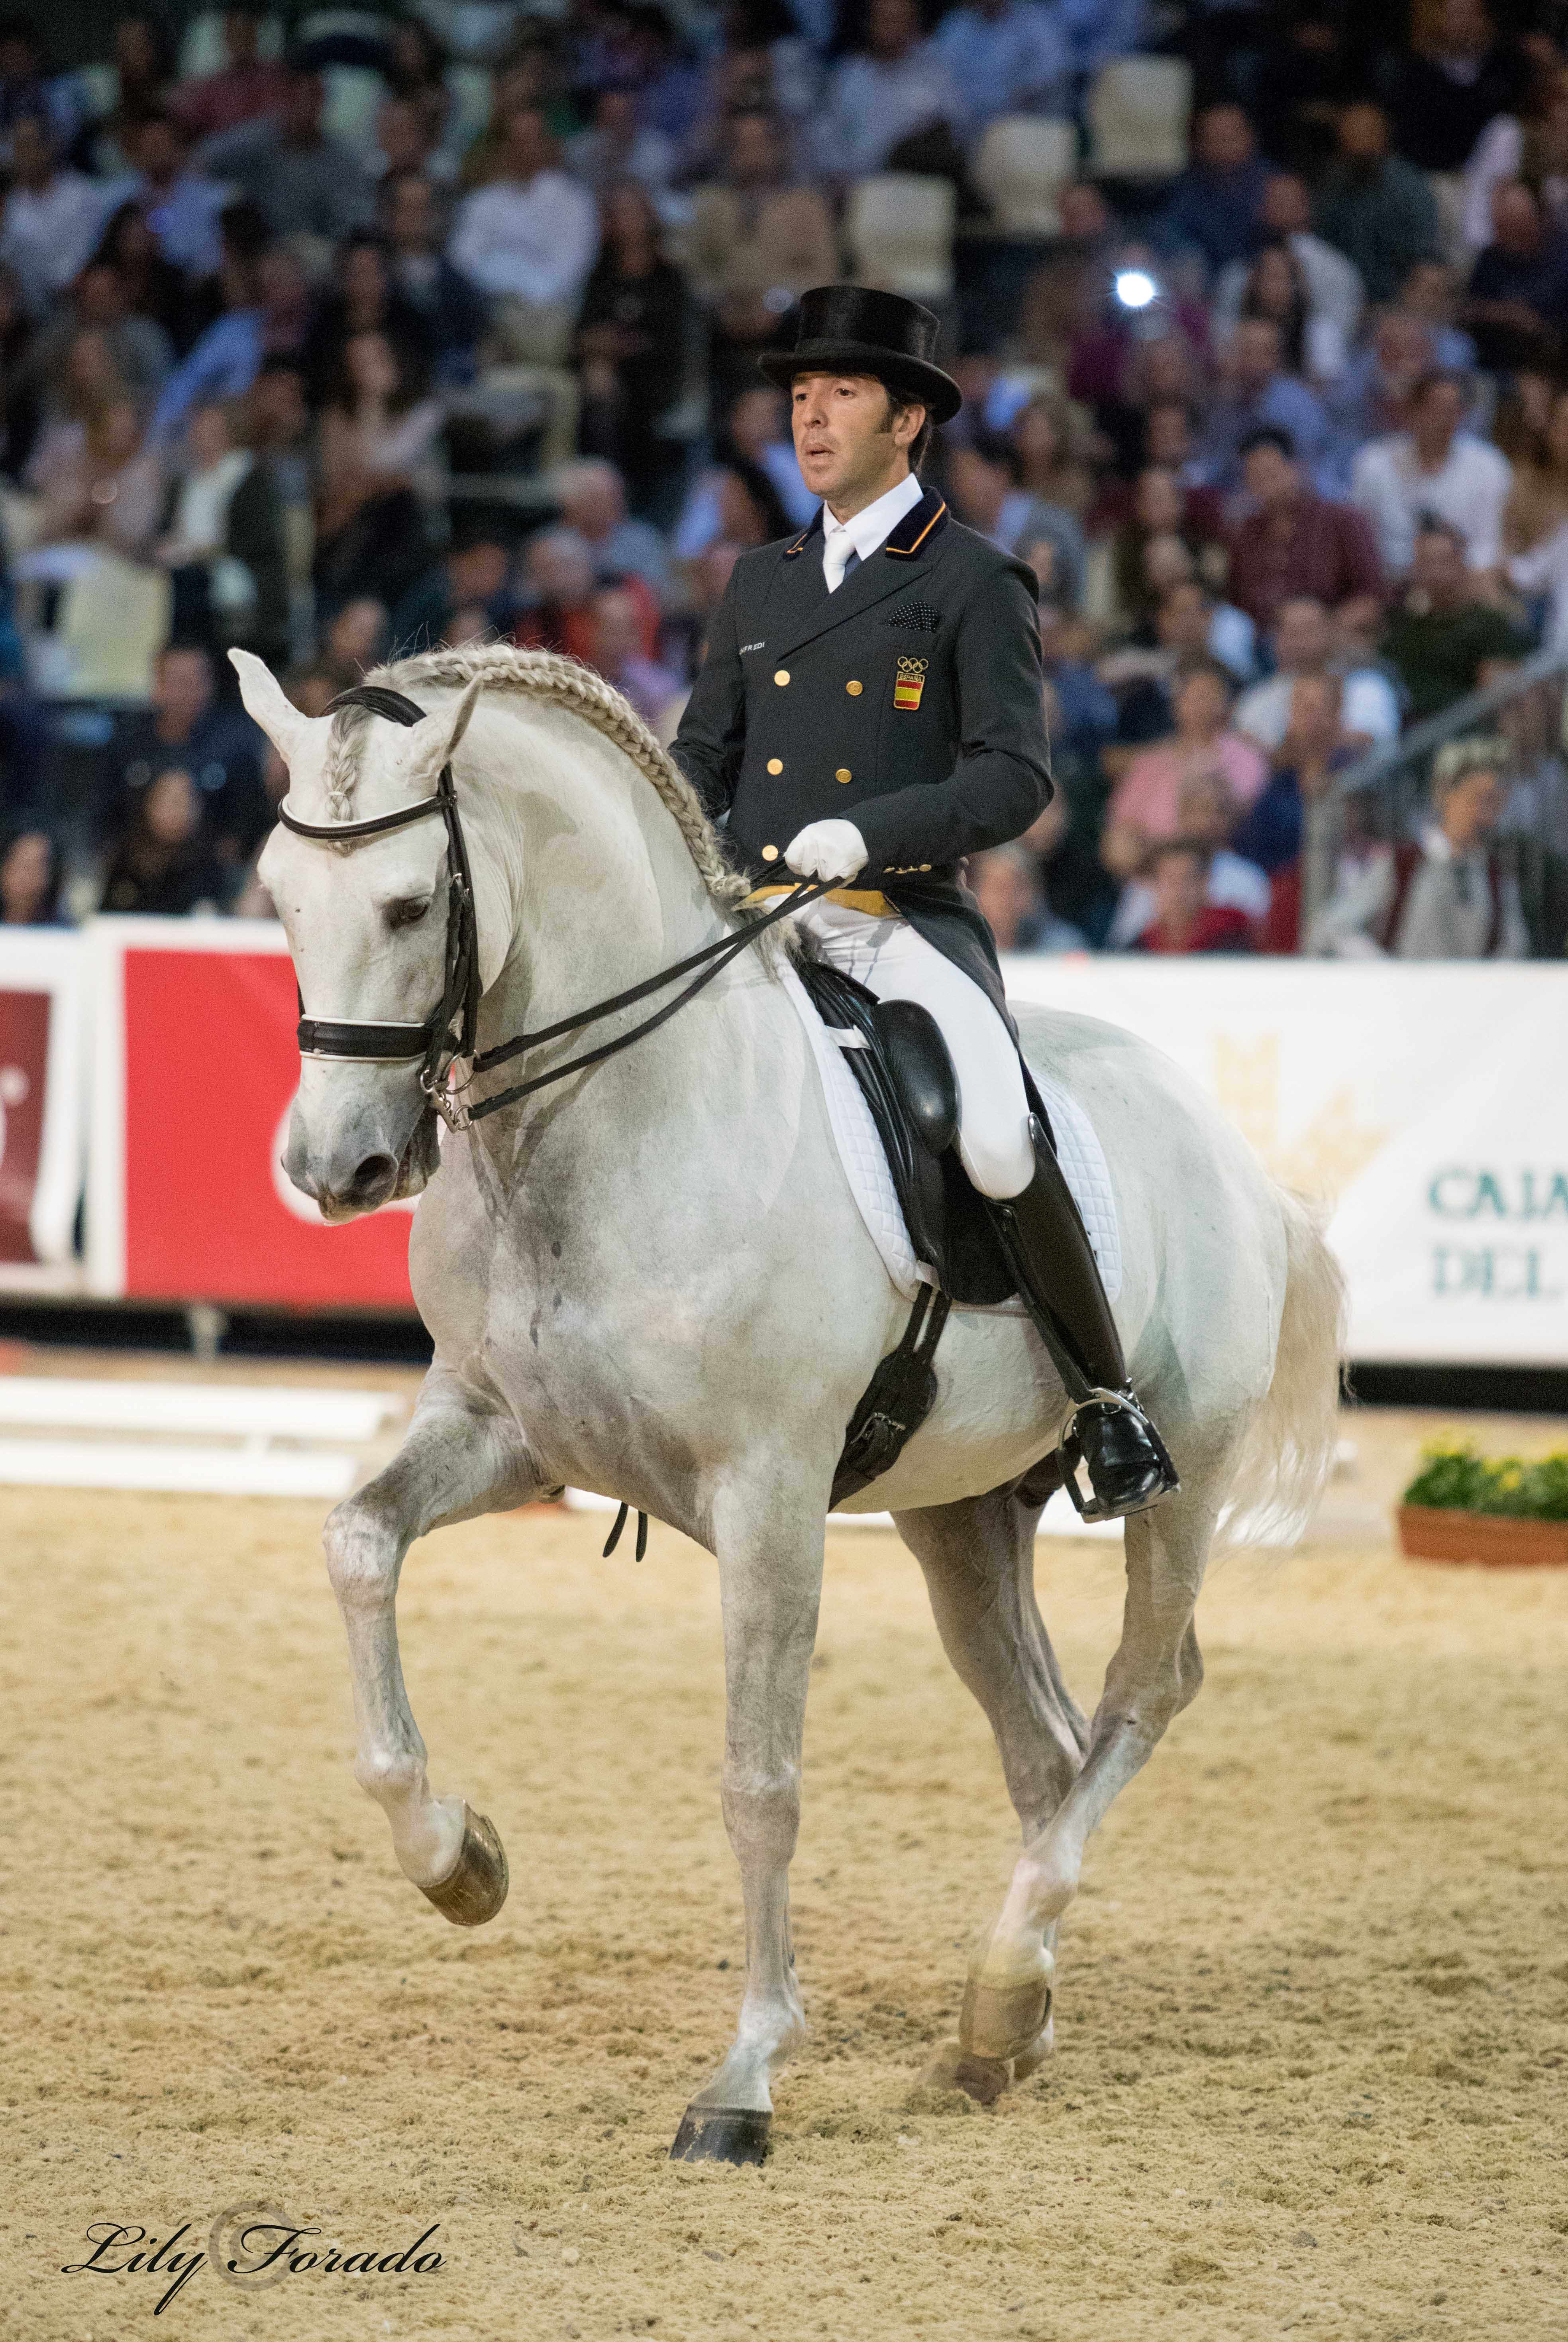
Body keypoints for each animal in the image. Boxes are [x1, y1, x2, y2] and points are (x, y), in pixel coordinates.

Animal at [236, 642, 1348, 2154]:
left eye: (411, 903)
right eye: (281, 897)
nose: (336, 1166)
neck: (608, 1122)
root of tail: (1231, 1152)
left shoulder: (767, 1497)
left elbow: (757, 1780)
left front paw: (746, 2072)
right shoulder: (506, 1435)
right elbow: (356, 1542)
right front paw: (458, 1858)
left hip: (1182, 1475)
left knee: (1141, 1691)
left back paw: (1006, 1980)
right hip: (961, 1516)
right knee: (1044, 1742)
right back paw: (1005, 2016)